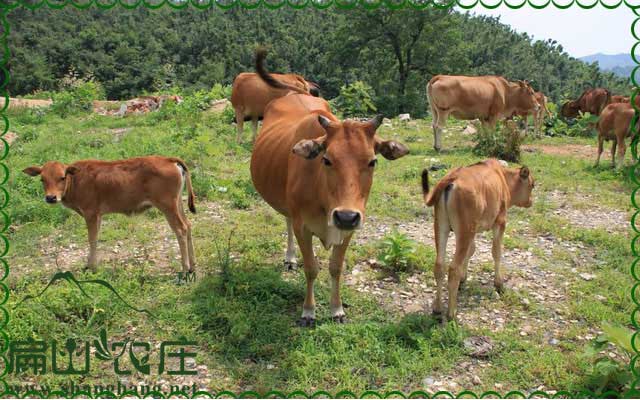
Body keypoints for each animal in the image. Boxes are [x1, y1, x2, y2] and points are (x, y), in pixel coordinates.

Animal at [420, 161, 536, 320]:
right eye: (532, 185)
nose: (530, 201)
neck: (503, 178)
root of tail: (451, 178)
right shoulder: (500, 222)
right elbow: (496, 252)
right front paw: (499, 284)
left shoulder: (474, 231)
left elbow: (471, 251)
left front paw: (464, 278)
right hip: (464, 231)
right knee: (453, 268)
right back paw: (452, 313)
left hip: (441, 226)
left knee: (439, 265)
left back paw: (437, 308)